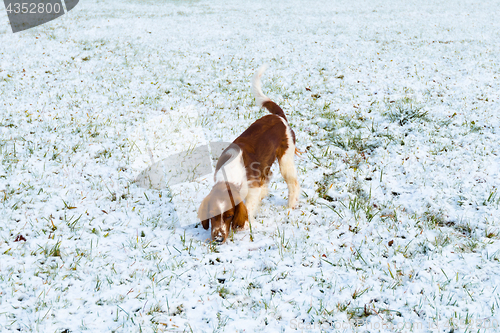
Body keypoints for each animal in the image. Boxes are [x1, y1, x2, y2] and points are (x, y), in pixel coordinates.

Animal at [198, 65, 300, 241]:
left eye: (229, 216)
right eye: (212, 215)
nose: (218, 239)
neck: (229, 176)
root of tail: (278, 117)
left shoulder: (252, 187)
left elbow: (249, 209)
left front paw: (245, 225)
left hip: (286, 159)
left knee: (292, 183)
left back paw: (290, 205)